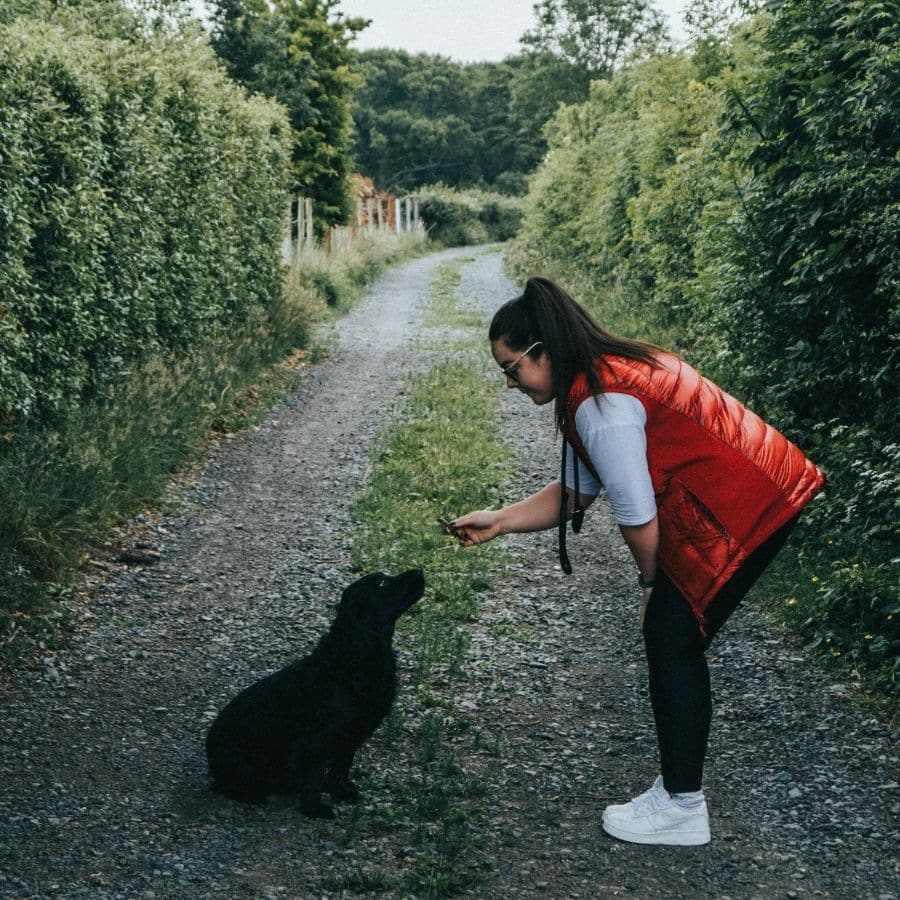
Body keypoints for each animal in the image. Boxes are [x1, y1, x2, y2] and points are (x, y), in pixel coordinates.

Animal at [207, 568, 426, 816]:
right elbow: (315, 777)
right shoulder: (320, 742)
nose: (419, 571)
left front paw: (340, 791)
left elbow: (341, 768)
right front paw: (314, 808)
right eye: (381, 584)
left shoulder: (351, 737)